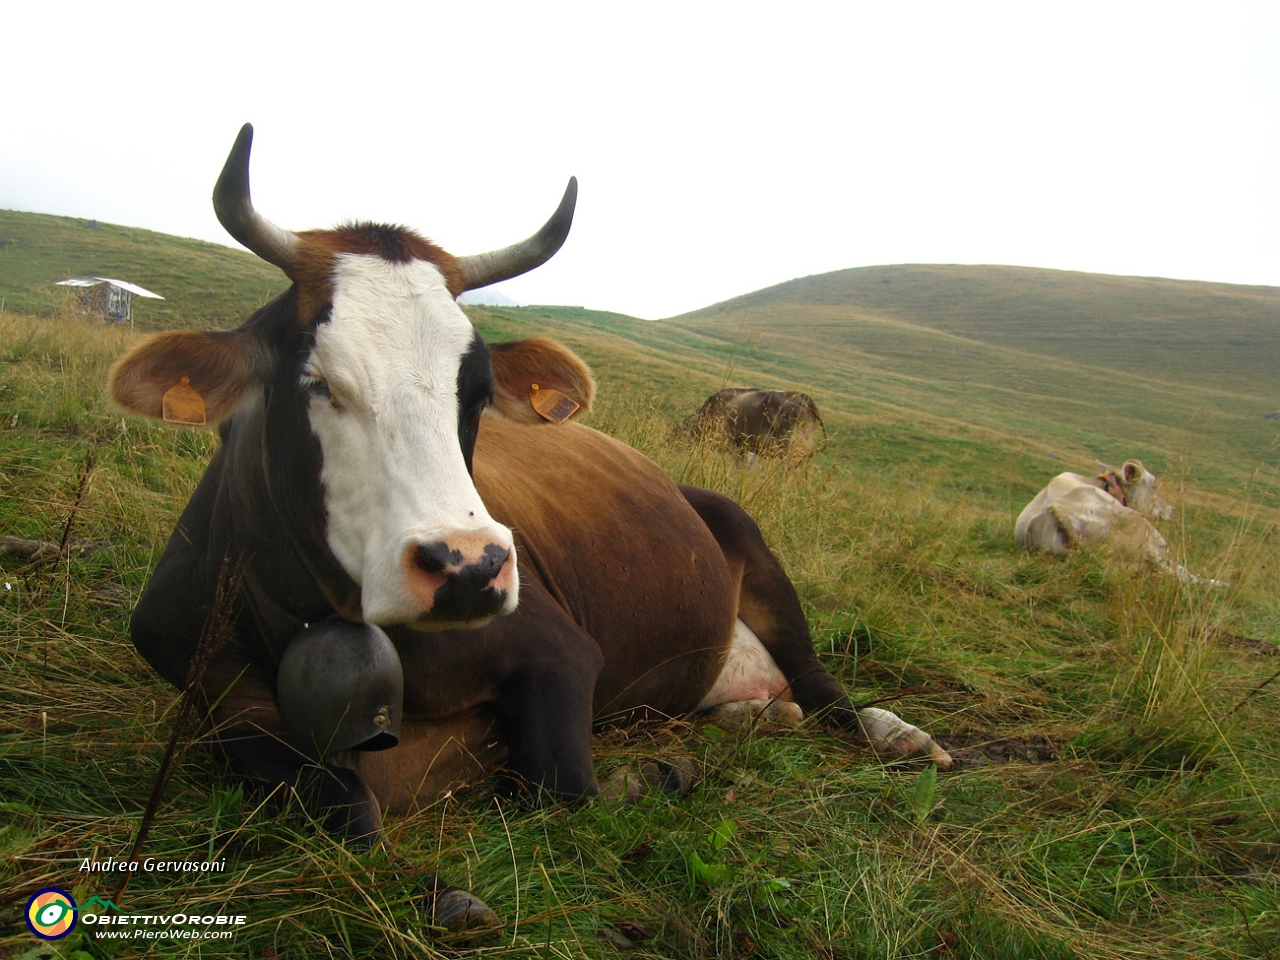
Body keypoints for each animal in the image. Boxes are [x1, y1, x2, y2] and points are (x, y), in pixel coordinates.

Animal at [1013, 458, 1223, 586]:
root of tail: (1058, 509)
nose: (1171, 509)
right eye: (1154, 486)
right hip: (1150, 538)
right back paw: (1219, 584)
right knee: (1179, 573)